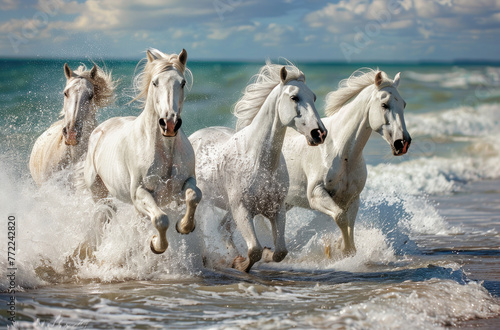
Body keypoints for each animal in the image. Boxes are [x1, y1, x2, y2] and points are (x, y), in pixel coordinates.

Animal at [83, 49, 201, 254]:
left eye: (183, 82)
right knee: (105, 214)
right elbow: (160, 219)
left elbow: (194, 196)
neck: (165, 150)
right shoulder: (140, 193)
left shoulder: (187, 181)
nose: (170, 123)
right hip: (98, 193)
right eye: (155, 82)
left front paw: (184, 226)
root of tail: (99, 130)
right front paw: (156, 245)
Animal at [189, 61, 326, 270]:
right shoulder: (242, 210)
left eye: (314, 97)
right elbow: (254, 249)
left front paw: (259, 255)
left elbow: (280, 252)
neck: (260, 163)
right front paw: (240, 265)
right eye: (294, 97)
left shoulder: (276, 210)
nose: (319, 133)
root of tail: (193, 136)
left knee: (223, 228)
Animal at [284, 68, 412, 256]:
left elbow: (350, 223)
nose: (402, 143)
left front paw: (347, 251)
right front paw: (342, 250)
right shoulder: (316, 194)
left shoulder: (351, 198)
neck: (340, 150)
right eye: (384, 105)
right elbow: (340, 217)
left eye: (403, 104)